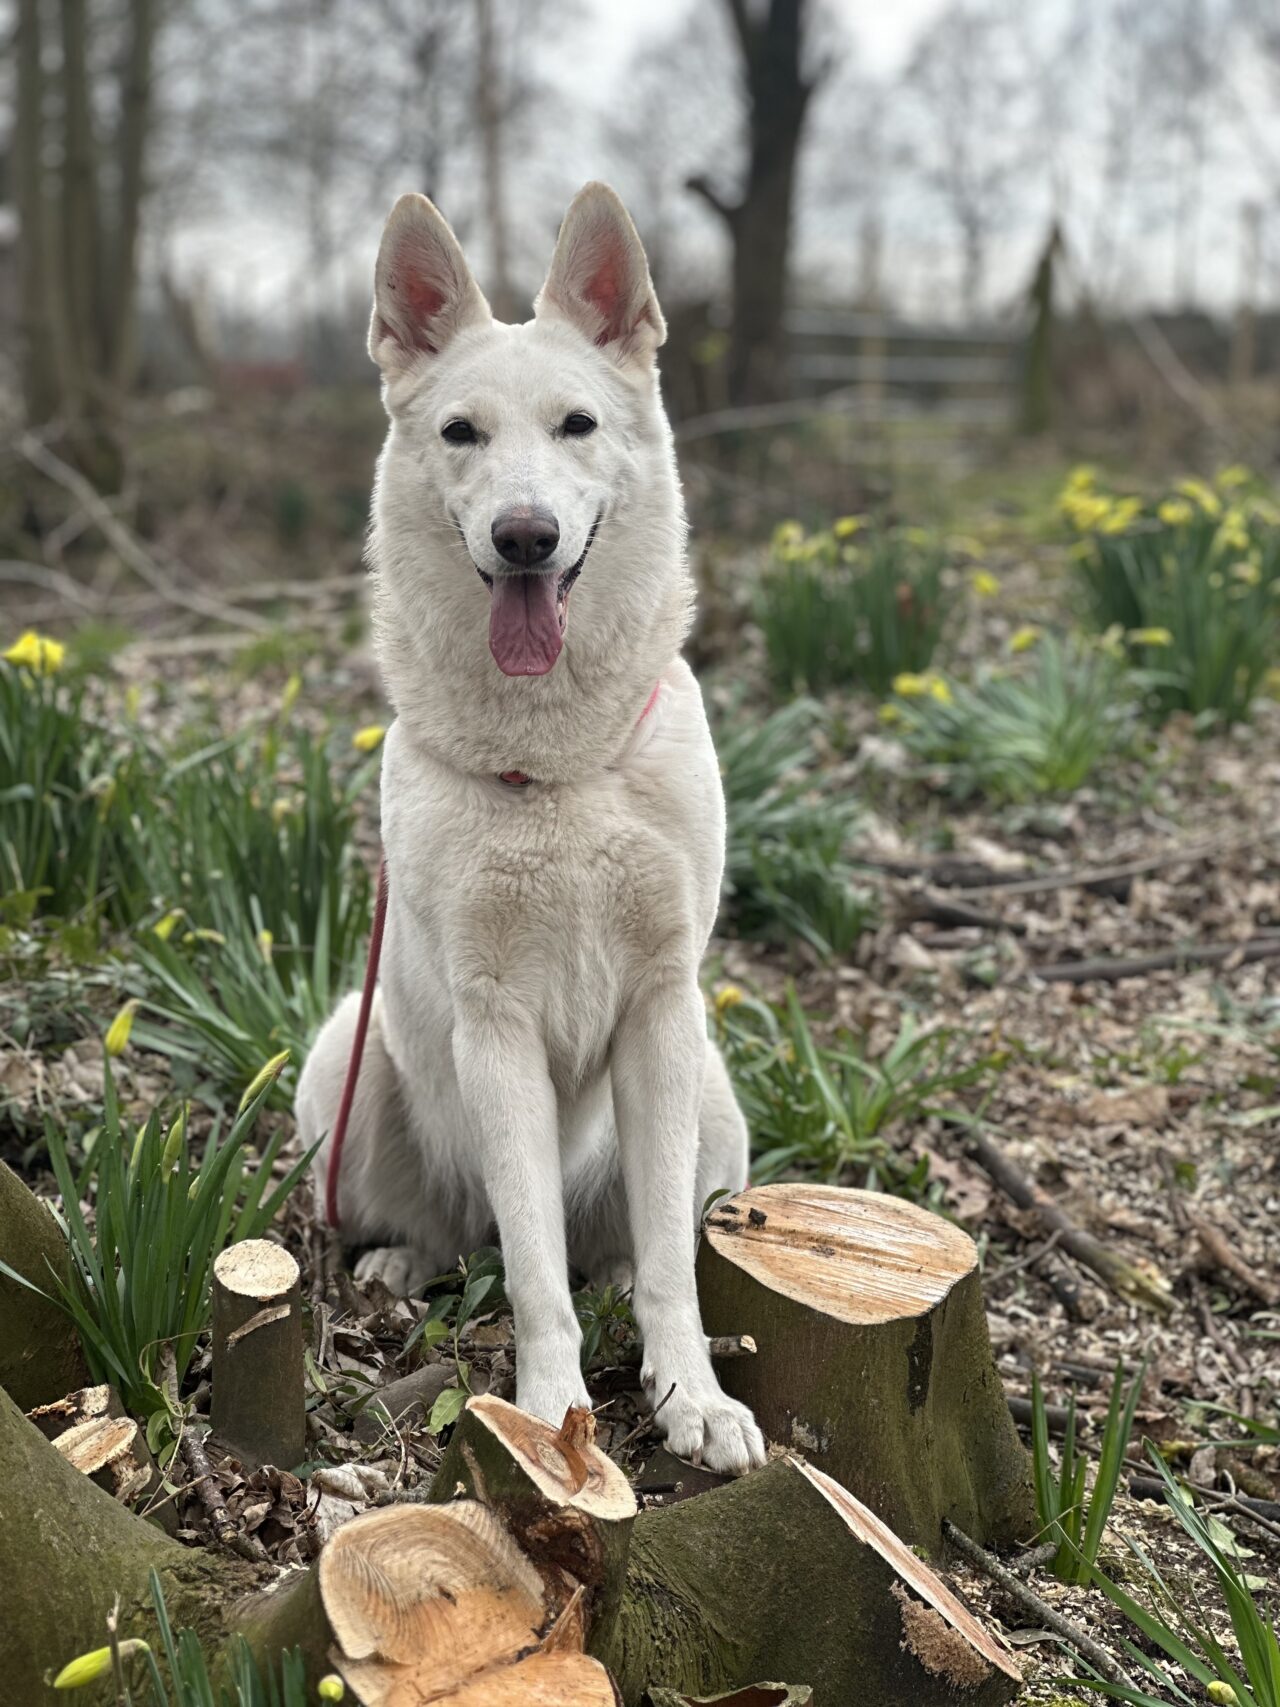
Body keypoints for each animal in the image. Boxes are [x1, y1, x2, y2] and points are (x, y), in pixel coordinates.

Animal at [295, 180, 768, 1474]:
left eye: (575, 426)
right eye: (460, 434)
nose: (522, 537)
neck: (555, 768)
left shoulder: (661, 1010)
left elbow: (663, 1271)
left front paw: (688, 1395)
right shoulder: (495, 1027)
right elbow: (533, 1275)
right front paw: (554, 1411)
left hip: (713, 1099)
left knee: (619, 1245)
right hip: (342, 1063)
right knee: (466, 1237)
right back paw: (403, 1261)